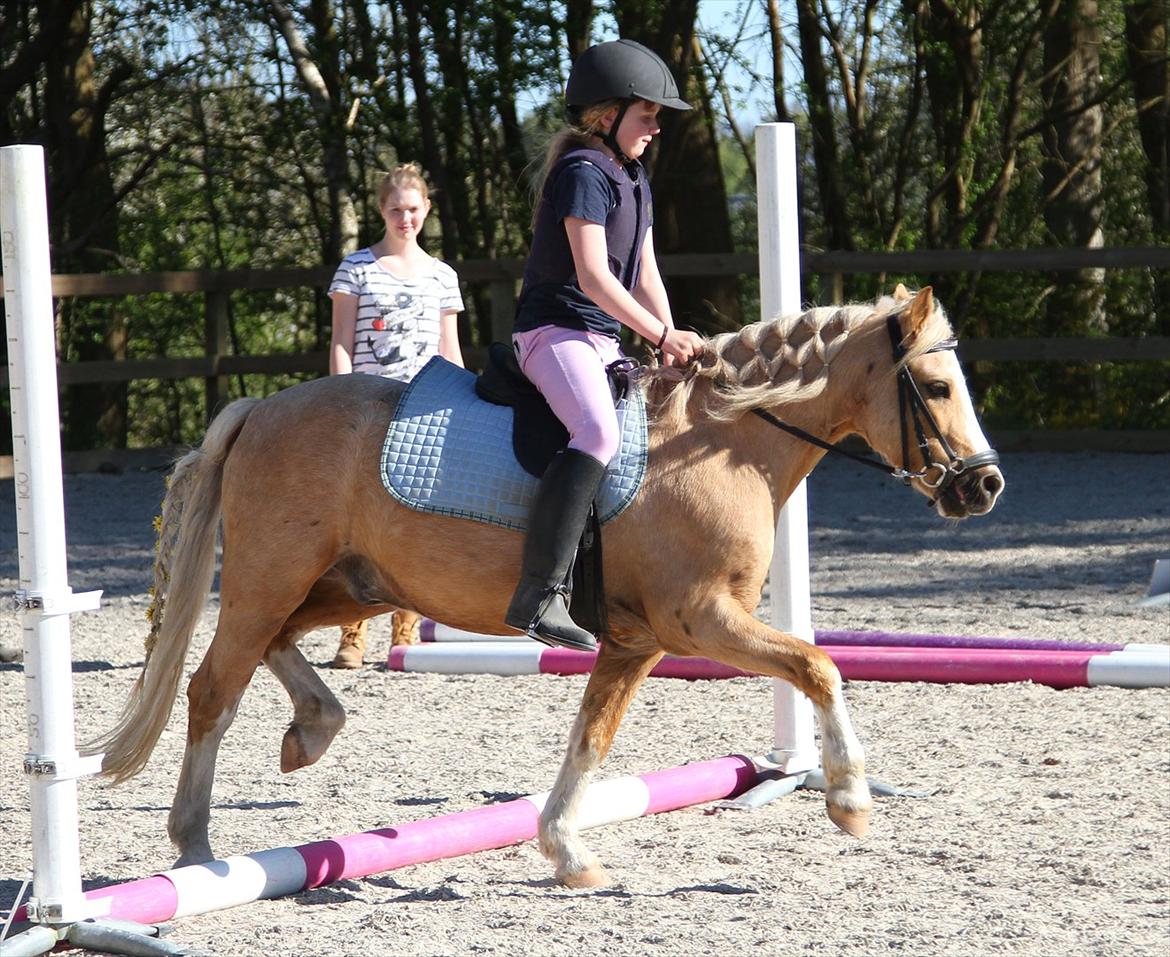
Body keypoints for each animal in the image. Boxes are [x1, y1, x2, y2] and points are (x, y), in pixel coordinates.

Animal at [88, 283, 1006, 889]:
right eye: (935, 388)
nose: (985, 486)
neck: (723, 442)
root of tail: (261, 407)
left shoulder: (638, 641)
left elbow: (591, 737)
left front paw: (566, 848)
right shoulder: (704, 620)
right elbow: (821, 664)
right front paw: (848, 797)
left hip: (352, 585)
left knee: (274, 649)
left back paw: (312, 729)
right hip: (269, 579)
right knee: (214, 688)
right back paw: (196, 847)